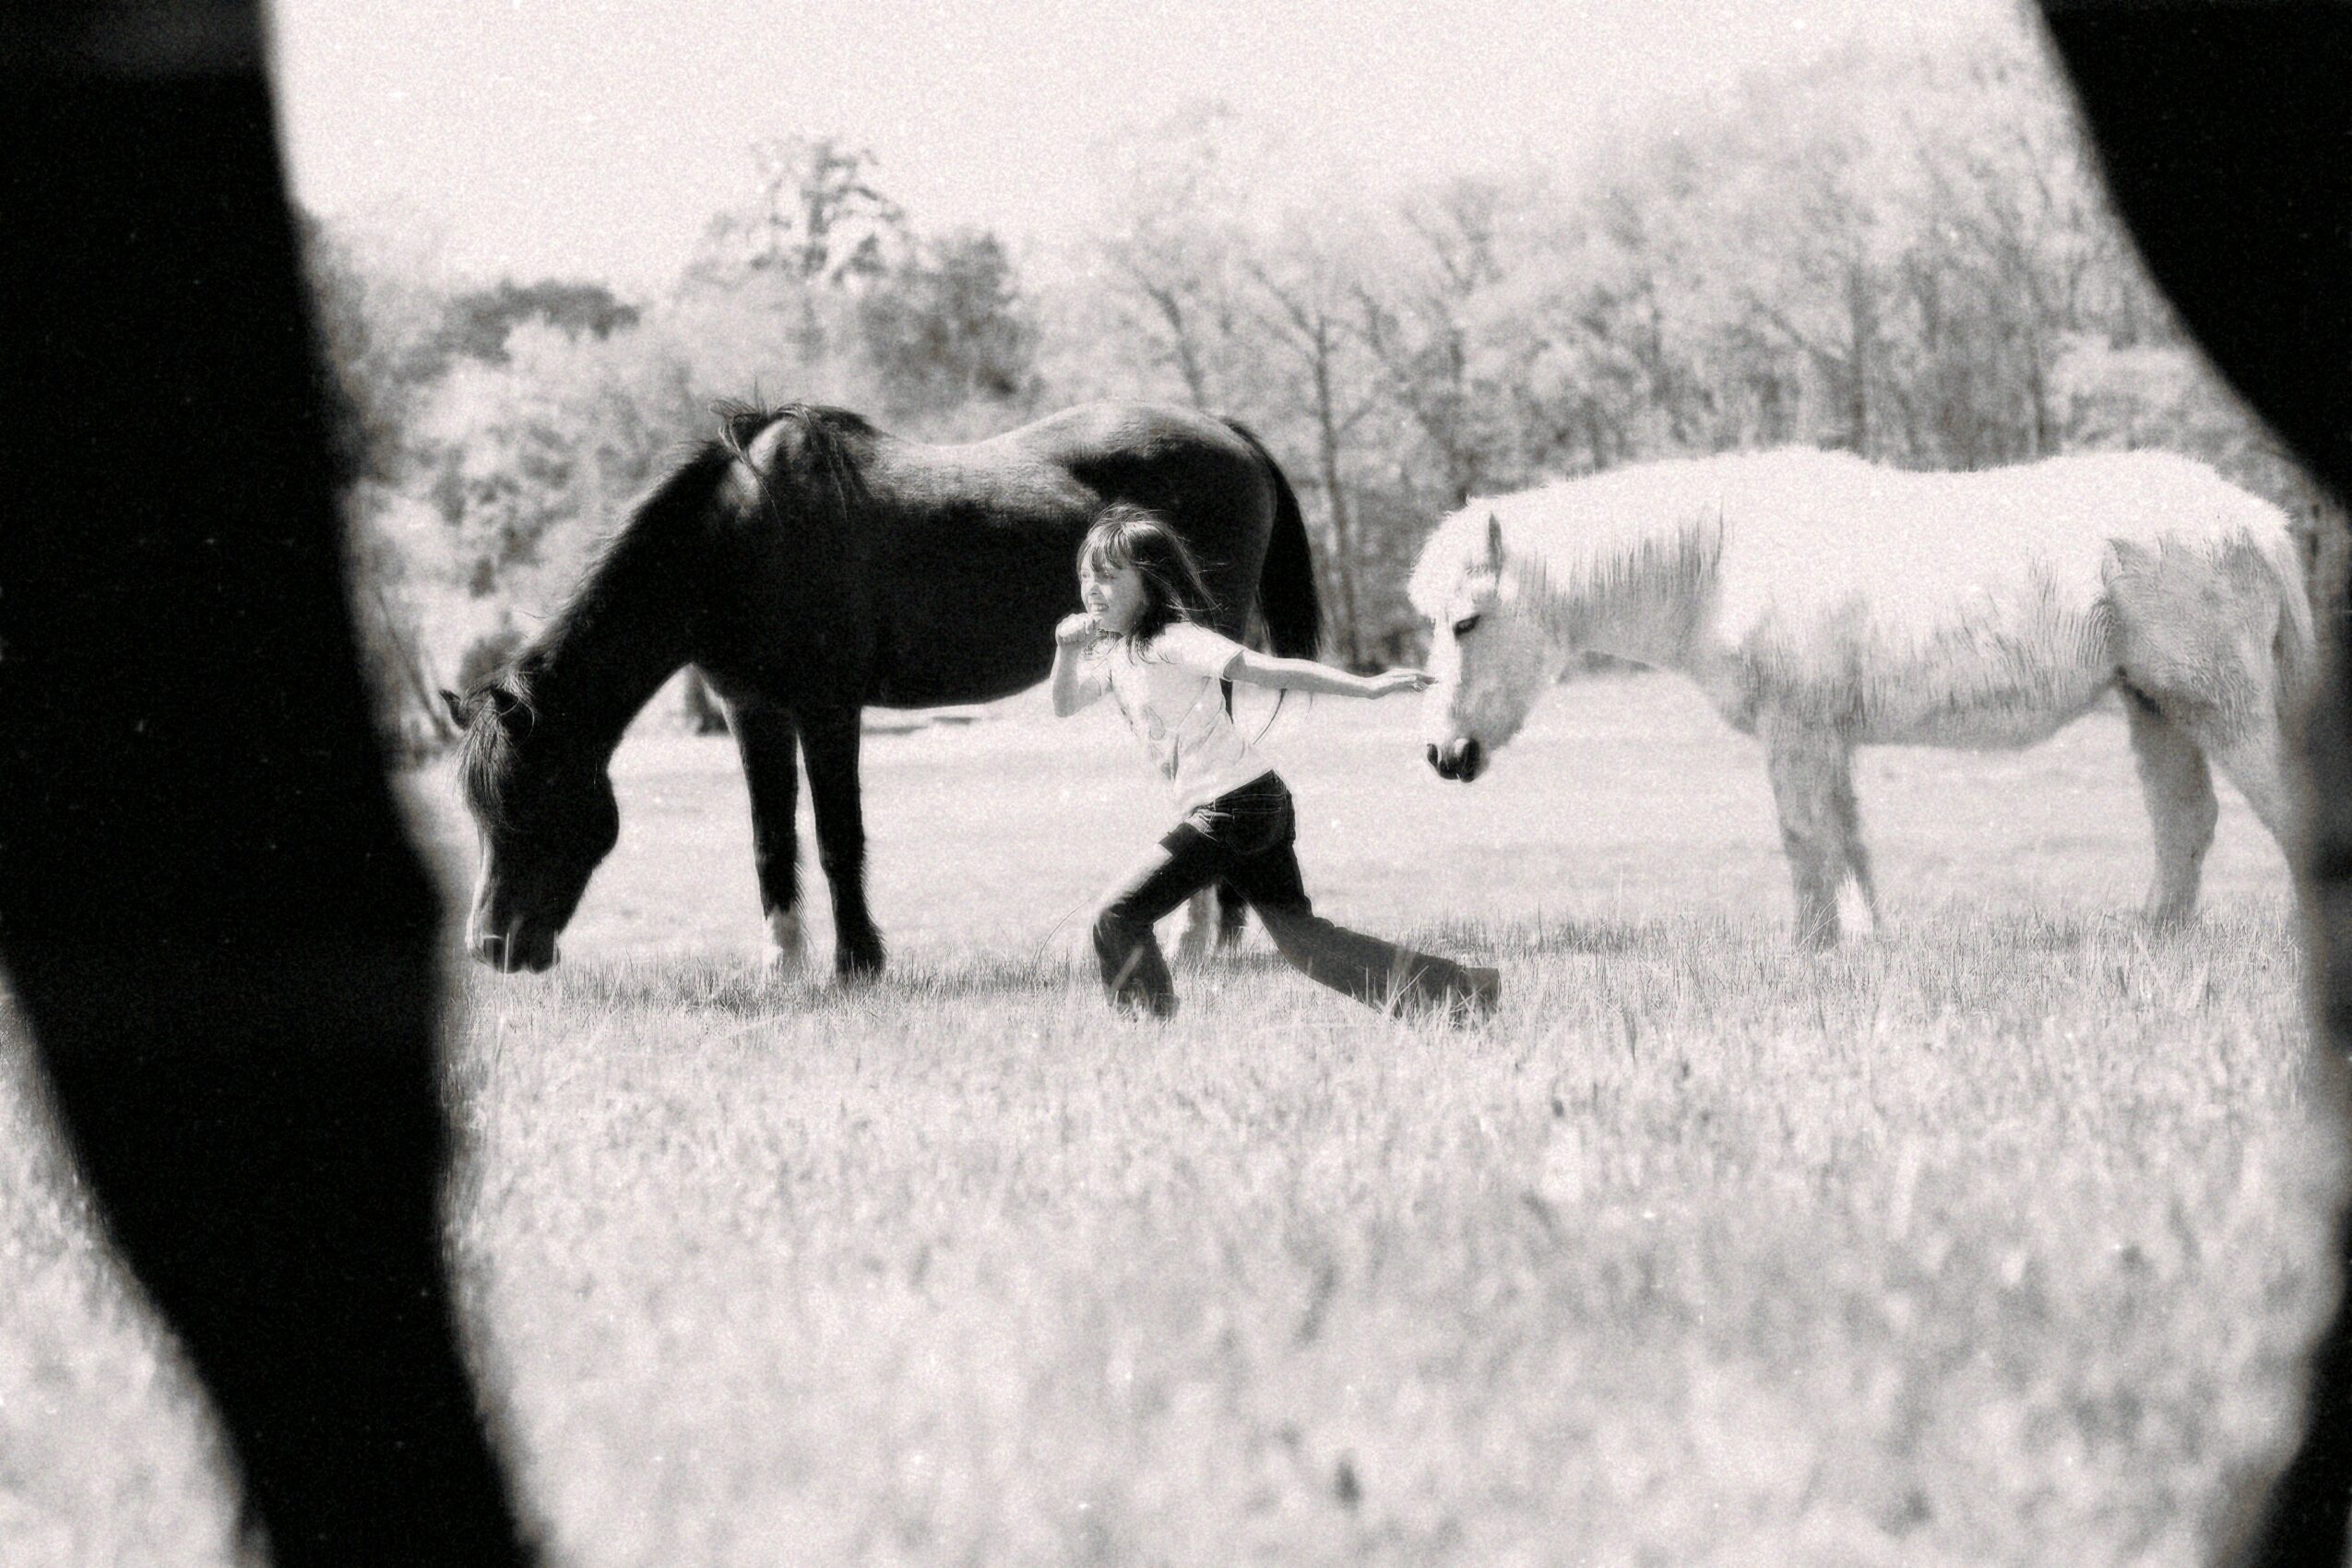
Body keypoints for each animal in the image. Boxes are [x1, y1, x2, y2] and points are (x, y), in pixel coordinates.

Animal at [442, 399, 1321, 977]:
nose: (490, 949)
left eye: (528, 804)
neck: (744, 542)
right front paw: (784, 969)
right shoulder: (752, 713)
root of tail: (1229, 432)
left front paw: (857, 963)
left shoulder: (829, 712)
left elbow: (838, 839)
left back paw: (1200, 939)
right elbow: (771, 841)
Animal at [1409, 446, 2314, 946]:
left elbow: (1805, 838)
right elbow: (1847, 844)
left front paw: (1810, 952)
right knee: (2184, 825)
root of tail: (2253, 520)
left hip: (2214, 706)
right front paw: (1862, 943)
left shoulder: (1797, 730)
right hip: (2157, 709)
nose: (1445, 755)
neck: (1717, 561)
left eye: (1466, 622)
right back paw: (2154, 938)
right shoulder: (1827, 737)